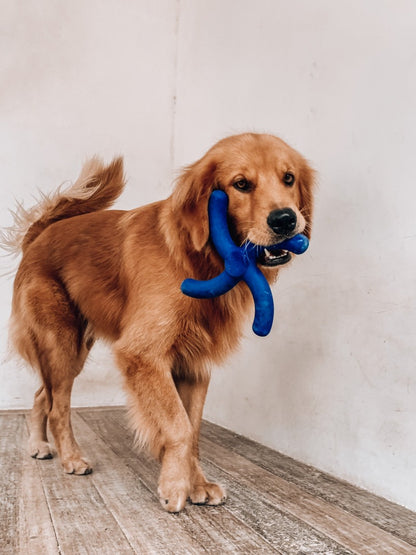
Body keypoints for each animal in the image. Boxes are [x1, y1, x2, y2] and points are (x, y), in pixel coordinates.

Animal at [6, 134, 314, 512]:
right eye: (241, 184)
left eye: (289, 178)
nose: (285, 220)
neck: (197, 259)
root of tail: (40, 234)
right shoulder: (143, 355)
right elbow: (178, 426)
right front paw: (174, 486)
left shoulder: (194, 365)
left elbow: (192, 429)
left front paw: (197, 483)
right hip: (62, 342)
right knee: (57, 406)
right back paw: (72, 458)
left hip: (74, 348)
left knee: (41, 396)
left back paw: (39, 445)